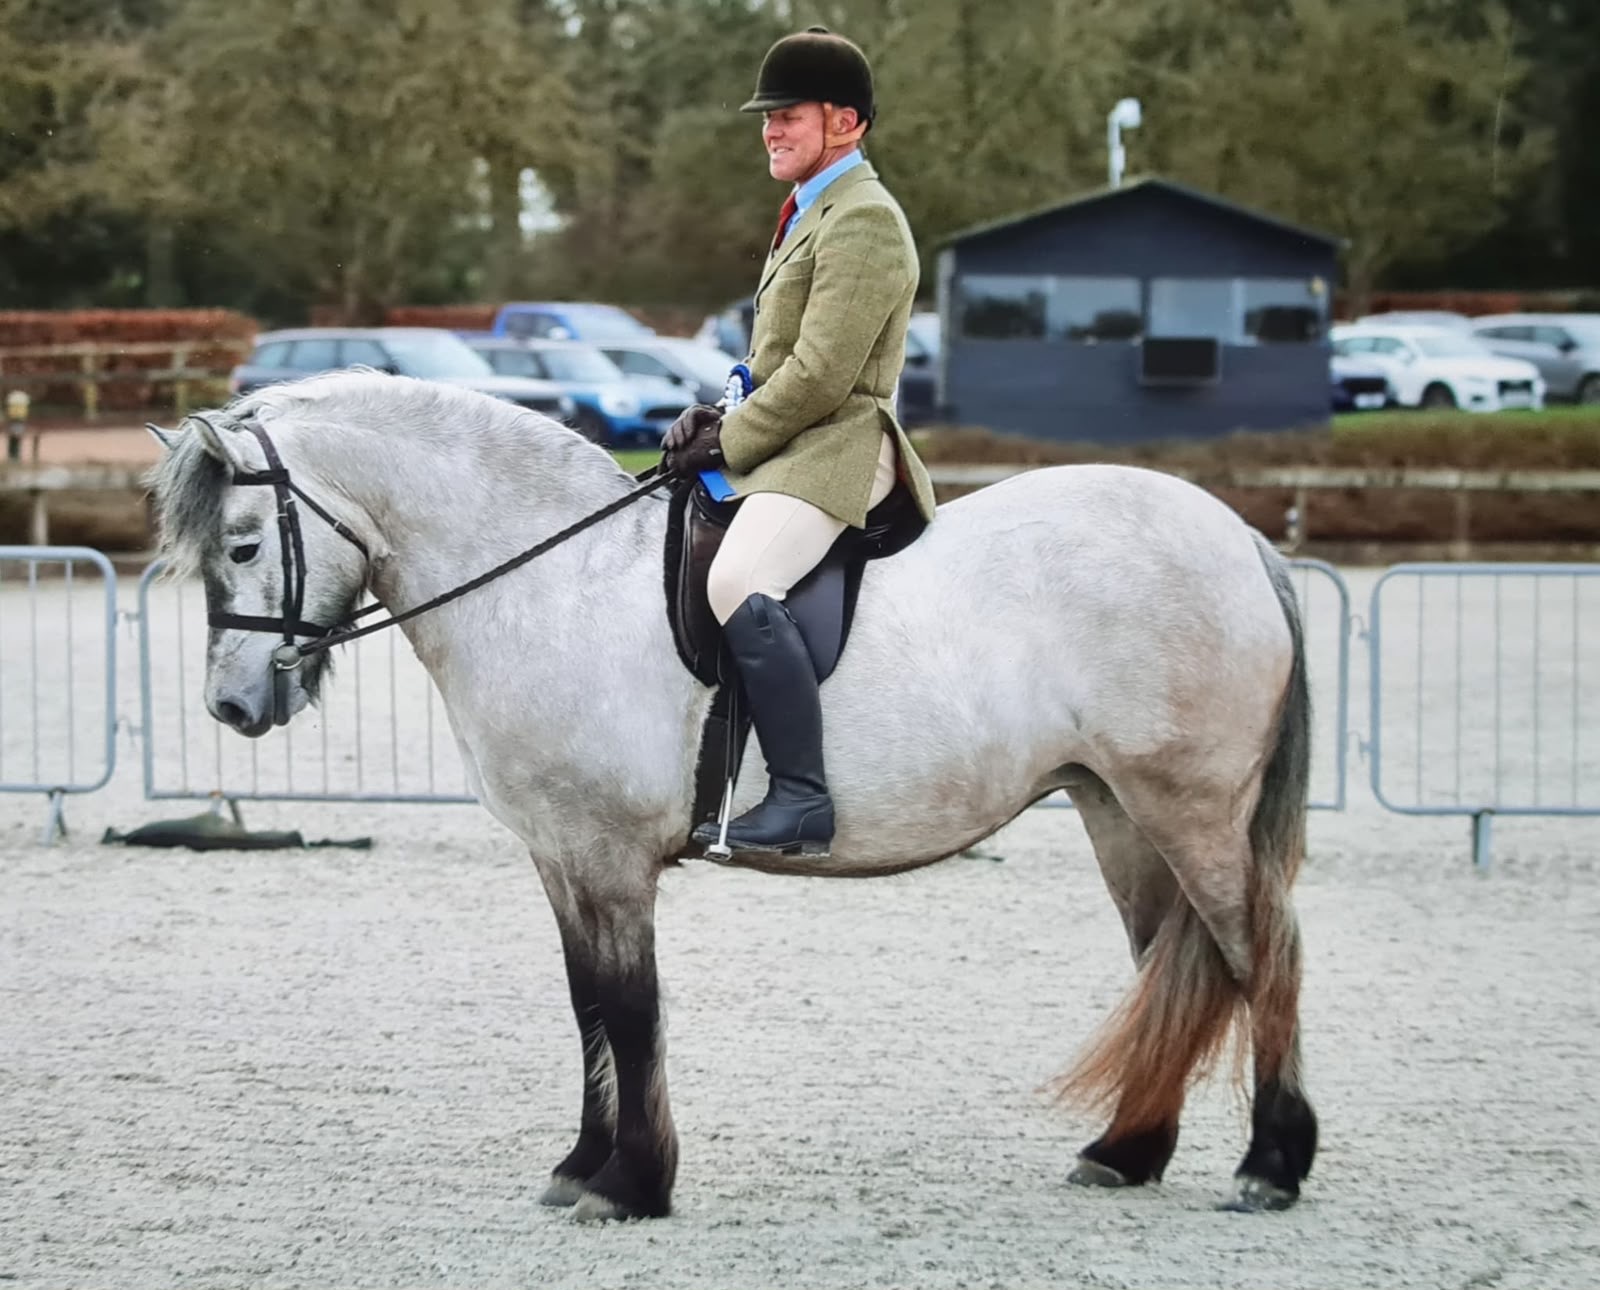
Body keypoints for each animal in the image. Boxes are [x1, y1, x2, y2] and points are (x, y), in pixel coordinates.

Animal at [147, 369, 1318, 1222]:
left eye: (242, 545)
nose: (232, 706)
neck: (553, 583)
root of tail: (1239, 538)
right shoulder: (562, 856)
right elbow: (586, 1007)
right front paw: (582, 1166)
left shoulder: (607, 856)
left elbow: (628, 1010)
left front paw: (629, 1185)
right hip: (1117, 811)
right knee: (1173, 963)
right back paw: (1127, 1152)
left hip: (1190, 810)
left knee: (1260, 955)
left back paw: (1272, 1165)